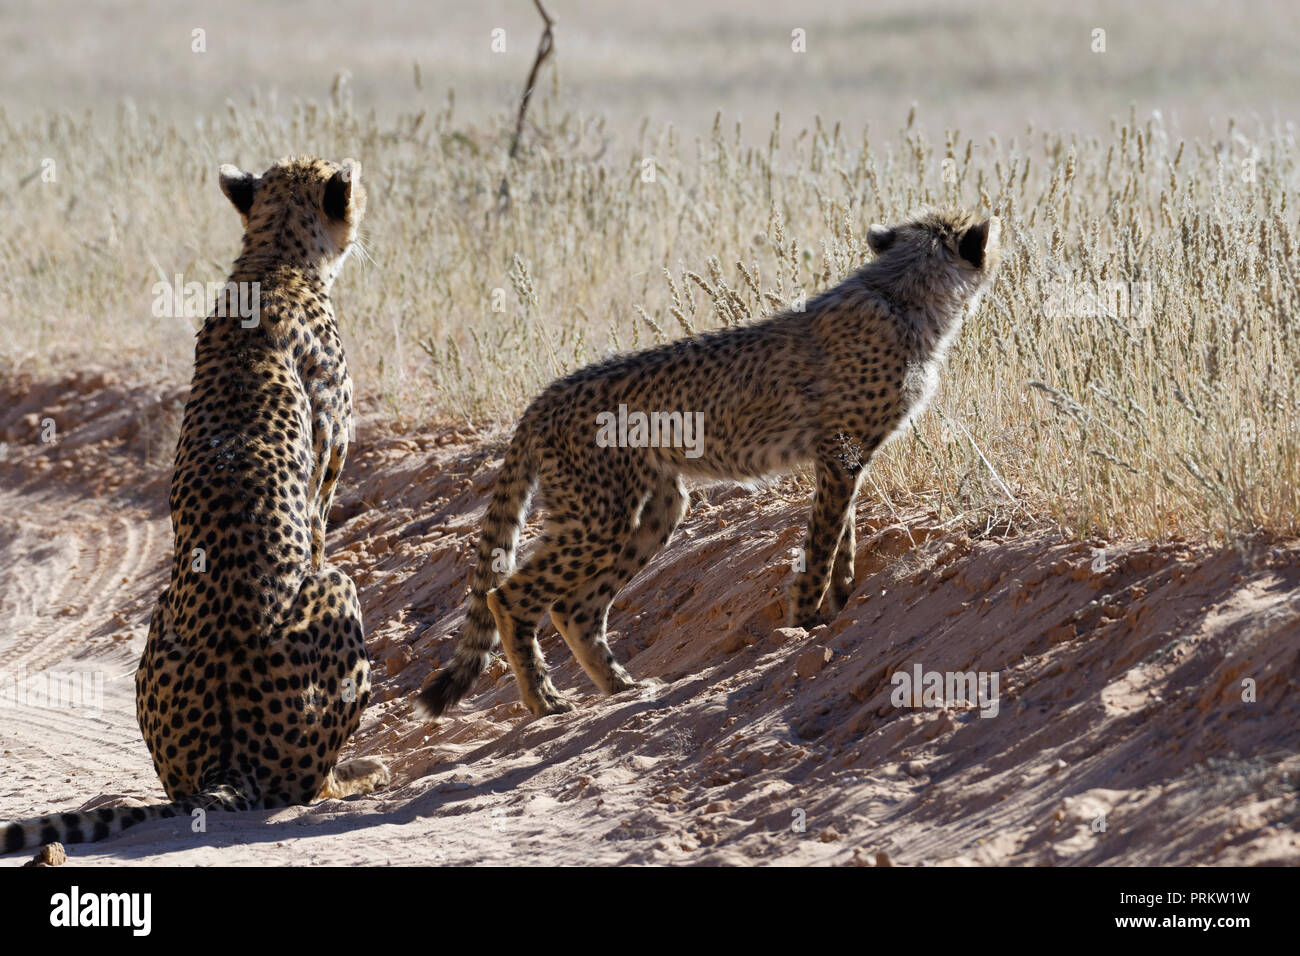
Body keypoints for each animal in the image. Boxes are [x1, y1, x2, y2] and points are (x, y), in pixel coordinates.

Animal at [2, 155, 387, 853]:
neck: (275, 257)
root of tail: (223, 772)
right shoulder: (326, 480)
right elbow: (319, 529)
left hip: (160, 621)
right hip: (339, 589)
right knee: (311, 783)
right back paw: (357, 773)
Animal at [421, 208, 998, 717]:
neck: (901, 293)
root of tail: (545, 394)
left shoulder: (844, 459)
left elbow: (843, 537)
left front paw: (842, 602)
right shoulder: (839, 453)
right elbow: (822, 543)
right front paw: (805, 621)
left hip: (657, 507)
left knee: (574, 606)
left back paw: (620, 685)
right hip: (599, 515)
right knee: (508, 596)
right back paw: (545, 701)